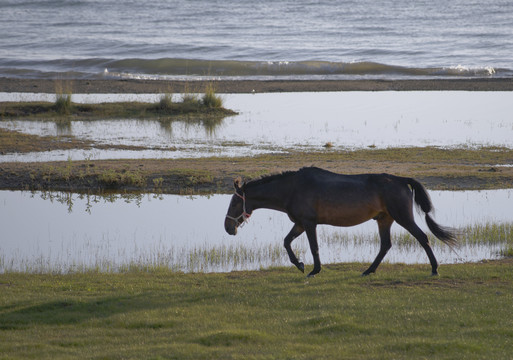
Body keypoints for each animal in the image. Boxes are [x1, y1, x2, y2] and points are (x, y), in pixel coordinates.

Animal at [224, 167, 456, 278]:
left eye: (234, 202)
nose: (228, 228)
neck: (292, 189)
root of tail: (401, 180)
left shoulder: (309, 223)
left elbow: (314, 247)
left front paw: (314, 270)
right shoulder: (300, 223)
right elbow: (286, 242)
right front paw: (300, 264)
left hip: (402, 217)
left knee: (422, 237)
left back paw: (434, 269)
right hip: (384, 219)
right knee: (385, 245)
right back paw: (368, 271)